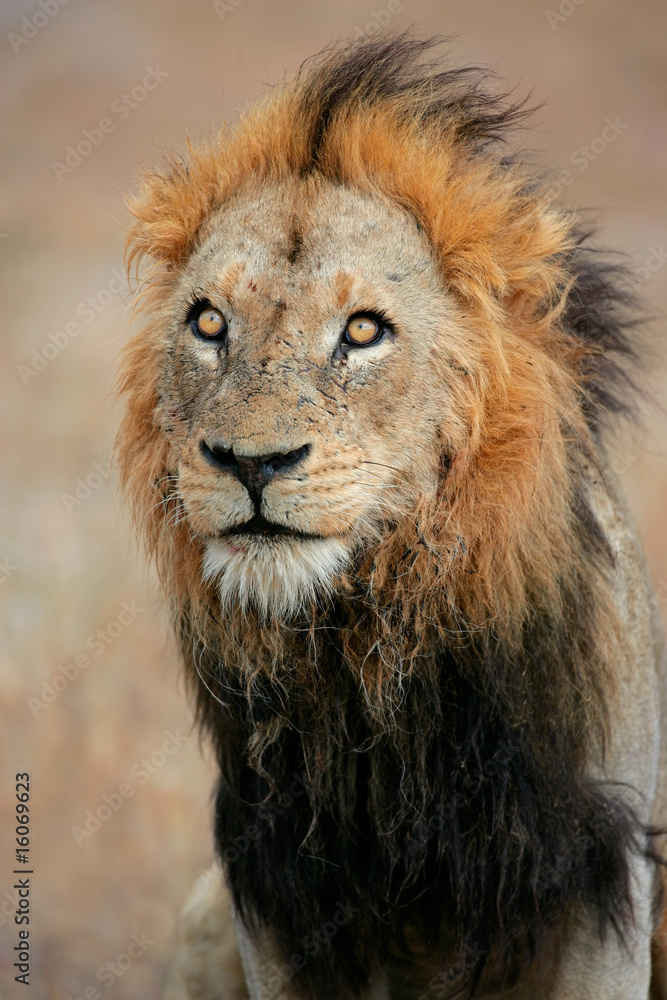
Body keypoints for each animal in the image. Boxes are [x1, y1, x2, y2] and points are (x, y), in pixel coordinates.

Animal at [116, 35, 667, 1000]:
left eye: (364, 331)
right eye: (209, 323)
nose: (250, 462)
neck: (370, 645)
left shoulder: (599, 880)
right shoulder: (276, 893)